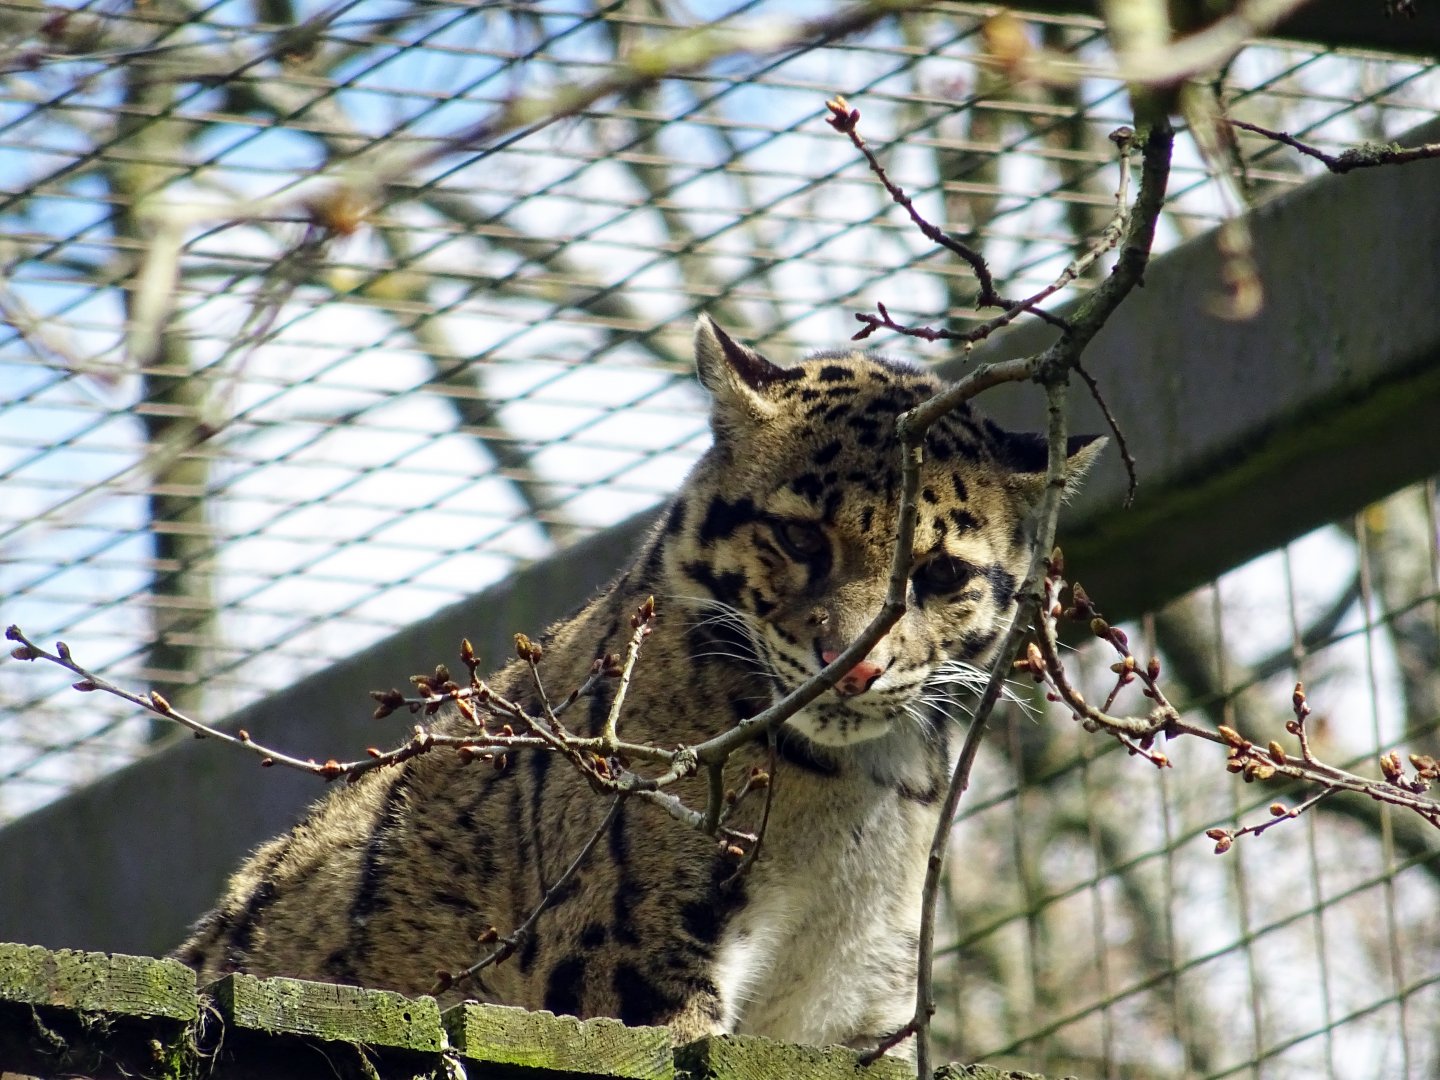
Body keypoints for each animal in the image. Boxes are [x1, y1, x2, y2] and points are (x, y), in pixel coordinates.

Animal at [177, 315, 1102, 1053]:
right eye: (802, 538)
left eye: (941, 573)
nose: (859, 662)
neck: (851, 800)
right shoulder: (630, 949)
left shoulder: (861, 991)